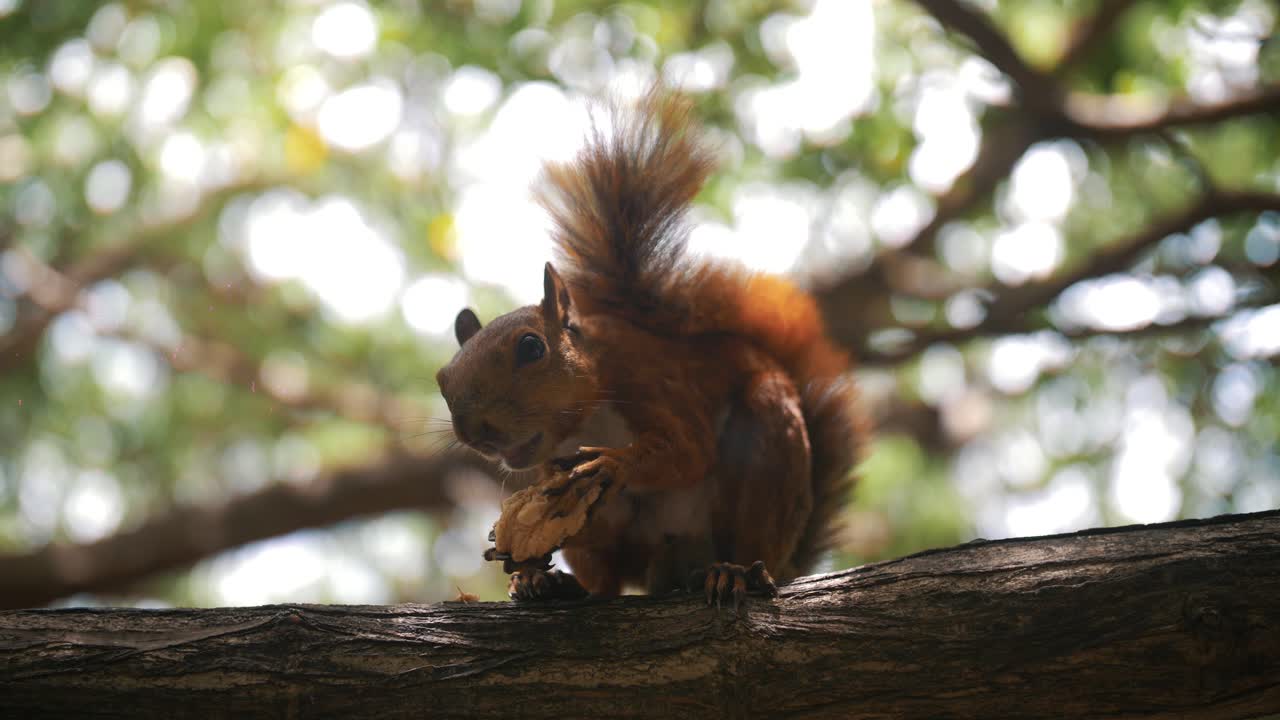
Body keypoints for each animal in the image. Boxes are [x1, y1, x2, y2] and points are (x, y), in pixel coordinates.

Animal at [435, 87, 866, 609]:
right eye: (442, 381)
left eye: (532, 348)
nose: (473, 431)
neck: (588, 417)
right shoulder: (556, 472)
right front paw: (521, 553)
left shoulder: (651, 377)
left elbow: (688, 450)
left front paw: (616, 463)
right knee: (604, 580)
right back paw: (551, 583)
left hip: (768, 456)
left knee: (749, 536)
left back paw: (733, 571)